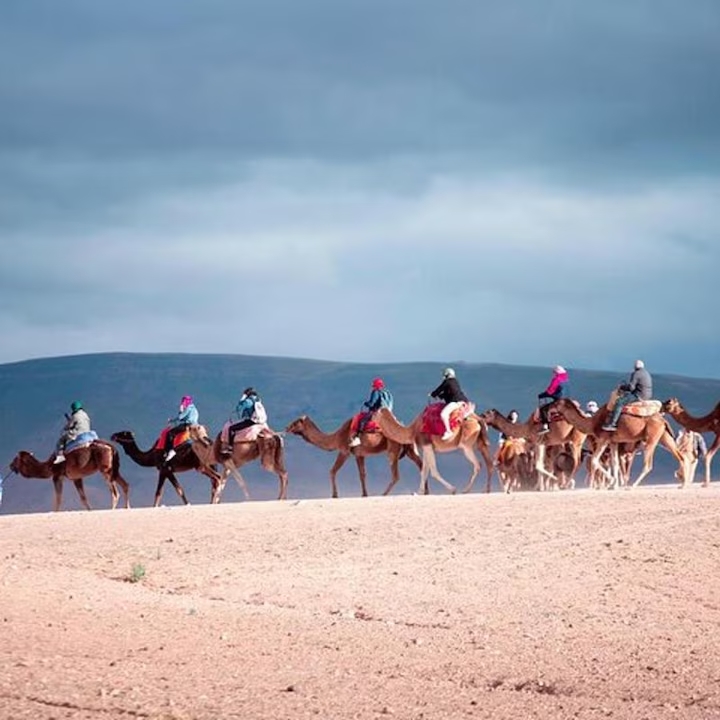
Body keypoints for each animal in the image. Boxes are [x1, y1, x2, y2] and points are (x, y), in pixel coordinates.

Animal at [284, 415, 422, 498]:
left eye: (295, 422)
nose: (286, 427)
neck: (335, 437)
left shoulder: (344, 451)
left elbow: (332, 471)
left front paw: (335, 495)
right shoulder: (359, 455)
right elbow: (362, 474)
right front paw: (364, 494)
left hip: (393, 448)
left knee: (396, 475)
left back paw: (383, 494)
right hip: (410, 448)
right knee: (421, 465)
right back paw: (424, 492)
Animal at [552, 398, 690, 488]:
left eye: (557, 403)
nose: (549, 406)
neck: (592, 422)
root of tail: (663, 420)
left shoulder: (603, 439)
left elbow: (595, 460)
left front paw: (612, 483)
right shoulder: (613, 442)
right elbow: (615, 463)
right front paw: (613, 485)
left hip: (651, 438)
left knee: (648, 464)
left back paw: (632, 486)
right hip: (664, 436)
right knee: (681, 457)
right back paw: (683, 484)